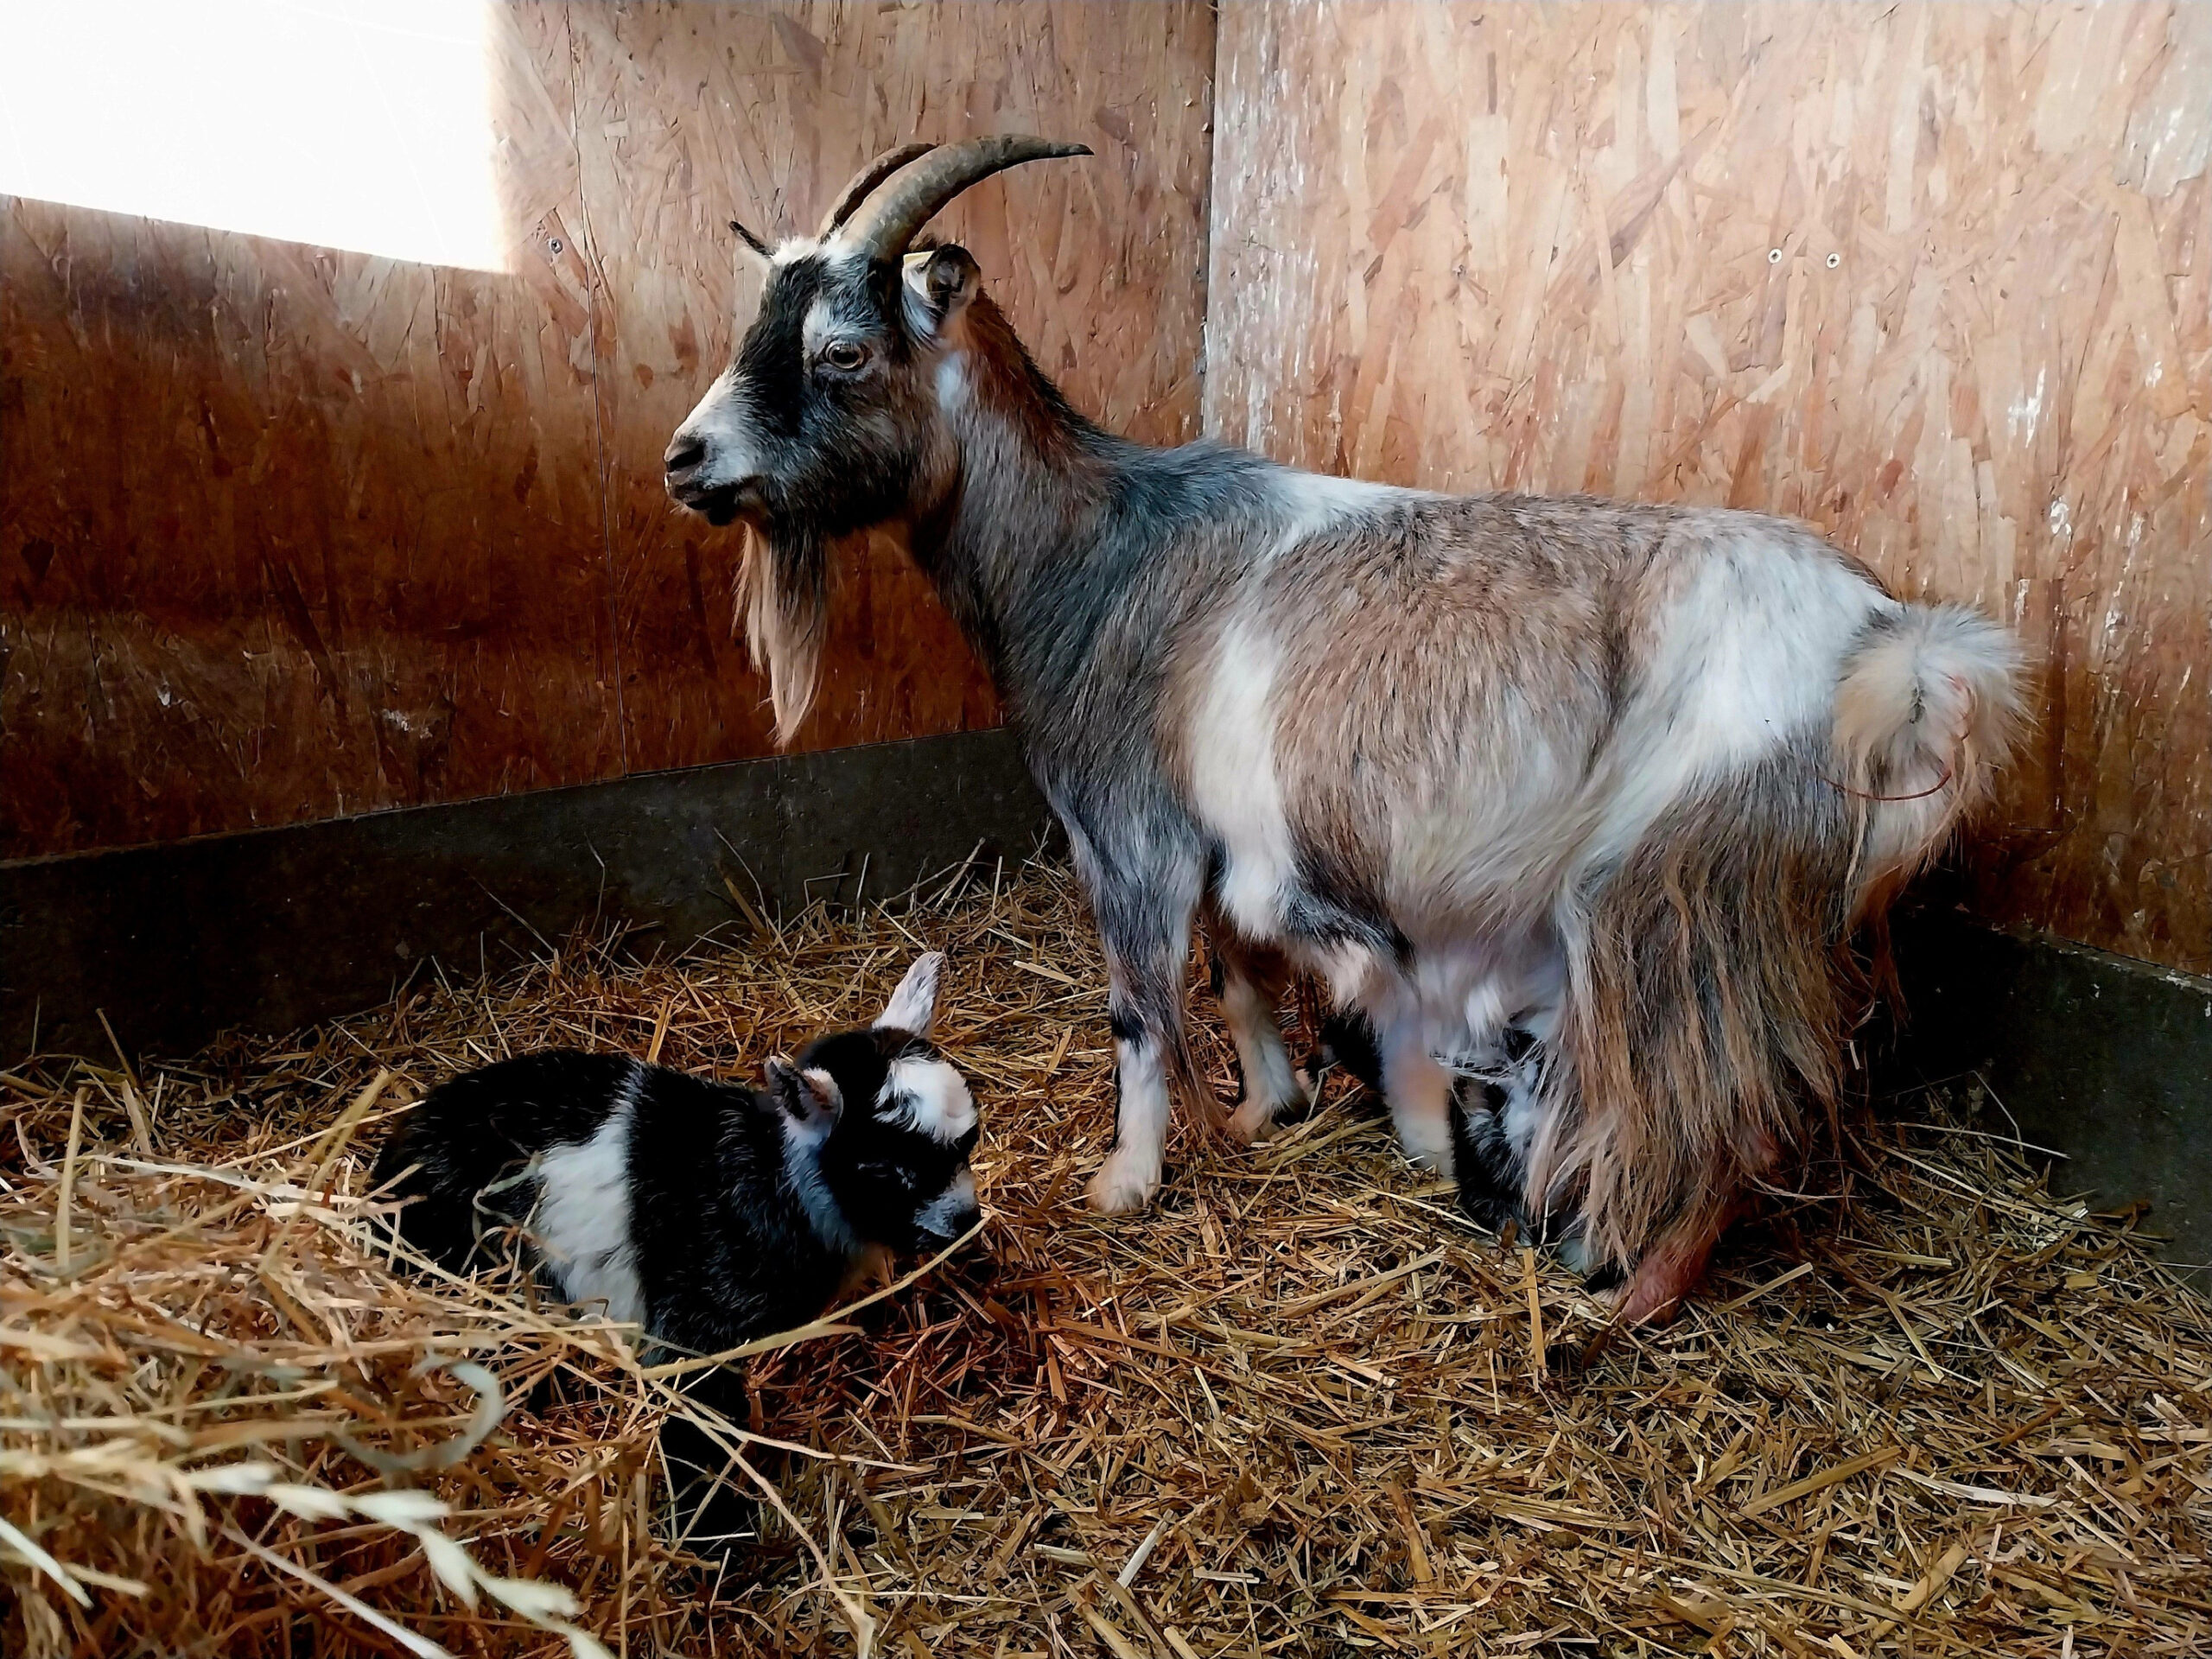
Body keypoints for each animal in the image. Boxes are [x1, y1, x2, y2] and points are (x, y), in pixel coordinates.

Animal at [663, 137, 2025, 1322]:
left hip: (1675, 896)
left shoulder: (1130, 833)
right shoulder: (1227, 835)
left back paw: (1625, 1297)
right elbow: (1238, 970)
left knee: (1719, 1103)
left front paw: (1126, 1182)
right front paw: (1268, 1105)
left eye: (842, 349)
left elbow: (1141, 1008)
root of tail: (1891, 653)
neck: (1095, 558)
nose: (685, 460)